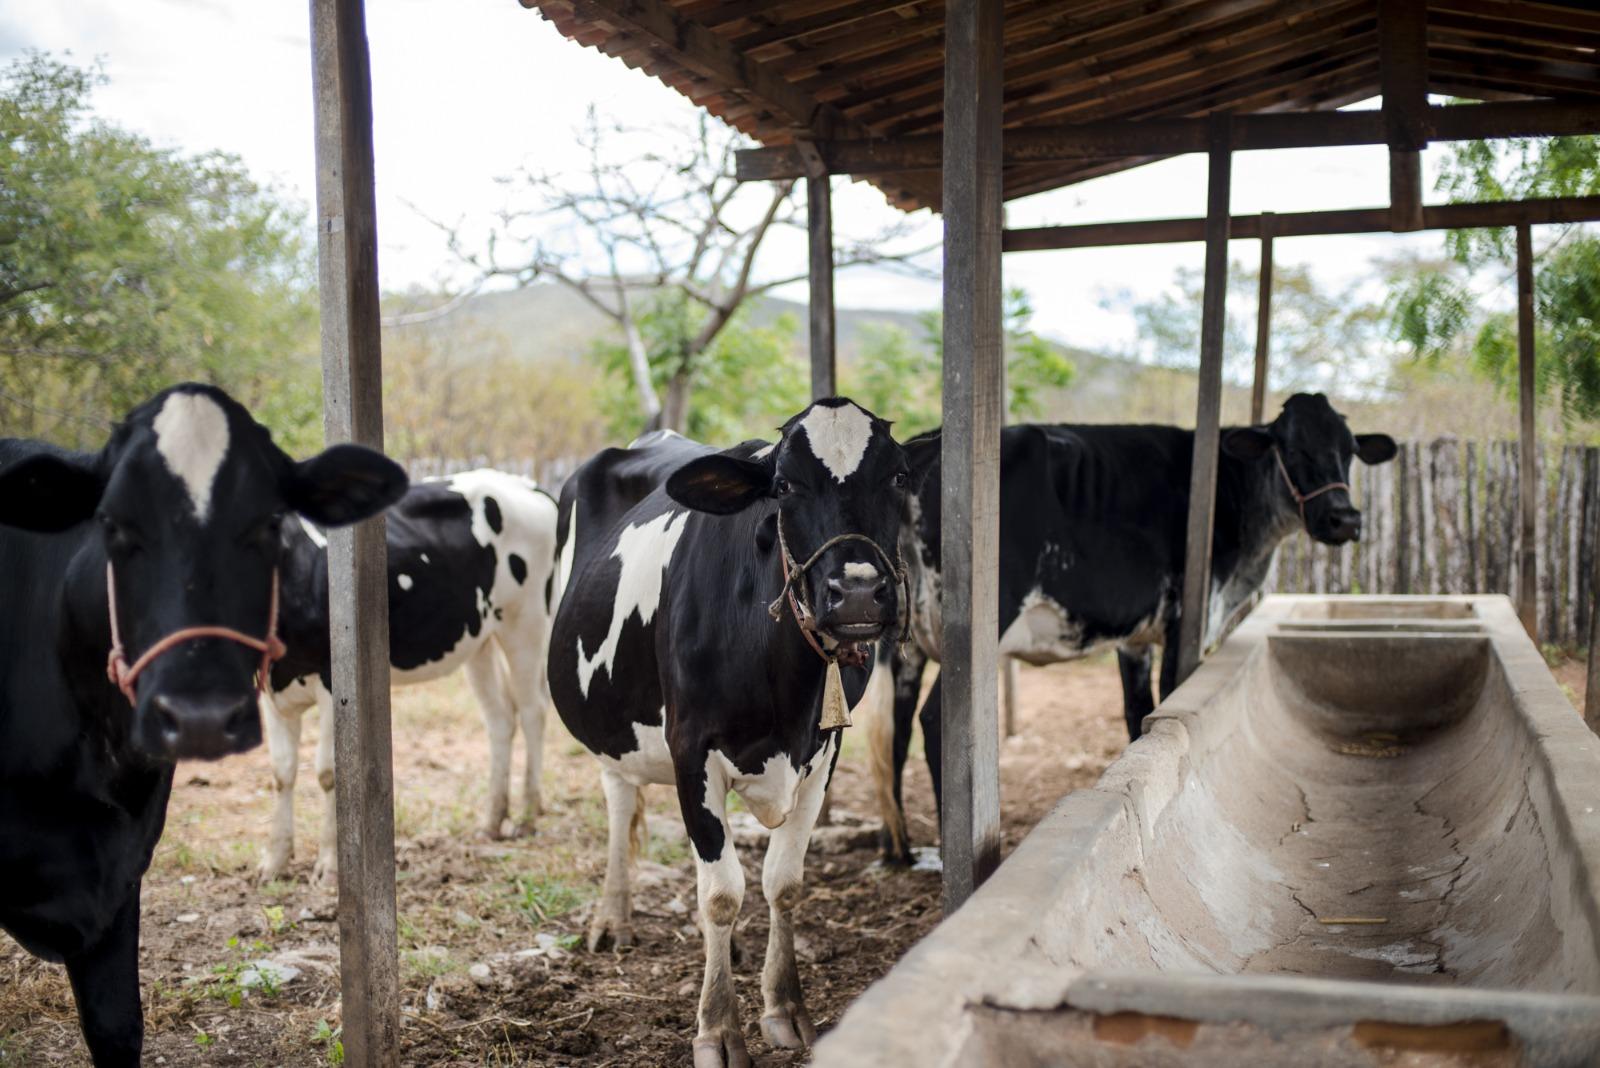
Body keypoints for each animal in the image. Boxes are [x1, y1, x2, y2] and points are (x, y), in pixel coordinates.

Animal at [259, 470, 560, 882]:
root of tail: (524, 484)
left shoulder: (332, 683)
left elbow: (329, 772)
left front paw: (329, 865)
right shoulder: (267, 692)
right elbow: (281, 773)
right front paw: (274, 861)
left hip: (525, 620)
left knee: (533, 710)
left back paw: (527, 815)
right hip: (478, 640)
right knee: (501, 718)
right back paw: (492, 820)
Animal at [550, 402, 934, 1068]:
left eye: (899, 477)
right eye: (783, 487)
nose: (858, 592)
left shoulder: (823, 751)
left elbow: (783, 881)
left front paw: (785, 1008)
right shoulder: (691, 750)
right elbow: (722, 893)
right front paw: (718, 1029)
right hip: (611, 728)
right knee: (621, 798)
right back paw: (612, 919)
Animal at [876, 391, 1388, 856]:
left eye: (1349, 450)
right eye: (1293, 448)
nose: (1345, 519)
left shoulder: (1134, 637)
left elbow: (1137, 712)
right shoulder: (1186, 620)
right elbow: (1170, 697)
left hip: (907, 644)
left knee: (896, 731)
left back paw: (898, 848)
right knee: (933, 720)